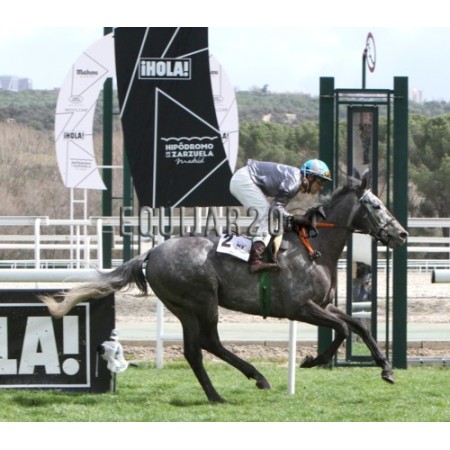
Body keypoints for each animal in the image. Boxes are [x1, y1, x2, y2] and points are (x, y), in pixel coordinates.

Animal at [40, 177, 408, 403]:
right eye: (376, 206)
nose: (402, 234)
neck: (312, 247)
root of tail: (151, 253)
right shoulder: (300, 307)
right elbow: (344, 329)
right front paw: (311, 360)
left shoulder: (323, 304)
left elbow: (358, 325)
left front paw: (386, 369)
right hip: (203, 301)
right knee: (209, 342)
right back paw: (255, 378)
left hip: (183, 307)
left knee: (195, 349)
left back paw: (217, 394)